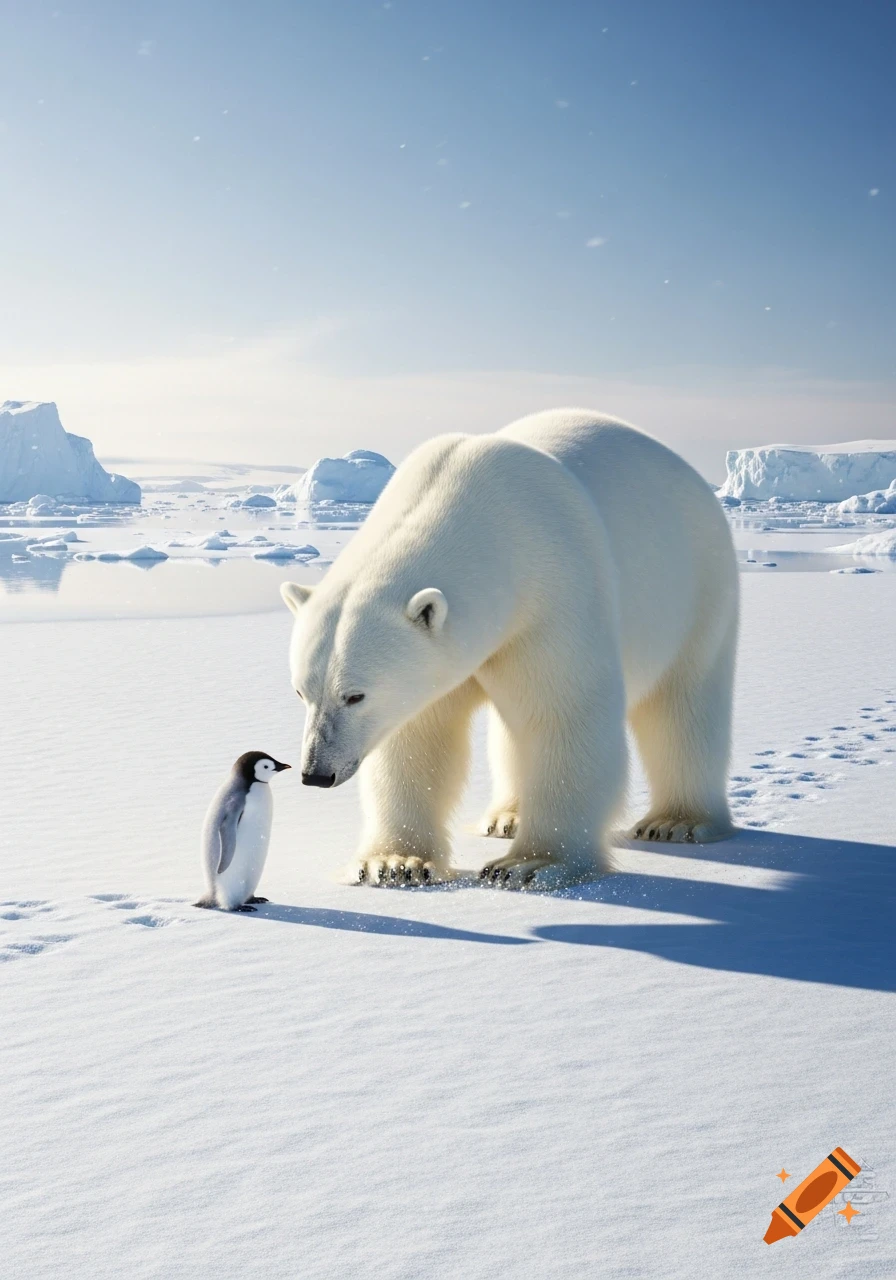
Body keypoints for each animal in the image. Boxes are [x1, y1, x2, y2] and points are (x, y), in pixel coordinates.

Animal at [281, 409, 739, 890]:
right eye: (301, 692)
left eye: (355, 695)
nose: (316, 773)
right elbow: (417, 736)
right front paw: (394, 863)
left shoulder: (554, 593)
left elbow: (565, 714)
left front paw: (531, 864)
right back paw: (507, 817)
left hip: (697, 585)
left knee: (683, 705)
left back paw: (677, 821)